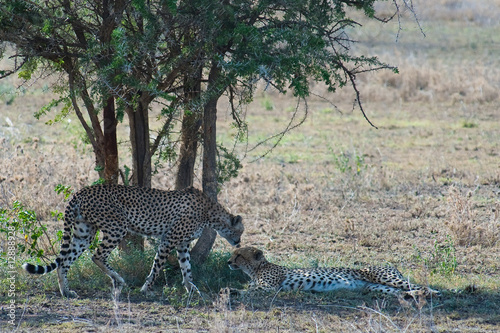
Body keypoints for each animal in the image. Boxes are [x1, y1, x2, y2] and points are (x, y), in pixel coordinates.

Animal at [22, 183, 243, 296]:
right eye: (240, 231)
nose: (239, 242)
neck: (210, 212)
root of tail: (81, 190)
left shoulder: (182, 244)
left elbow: (186, 267)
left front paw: (191, 288)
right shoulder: (169, 240)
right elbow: (157, 265)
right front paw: (146, 288)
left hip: (83, 233)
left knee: (65, 262)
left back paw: (66, 292)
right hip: (117, 227)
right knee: (97, 256)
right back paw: (118, 280)